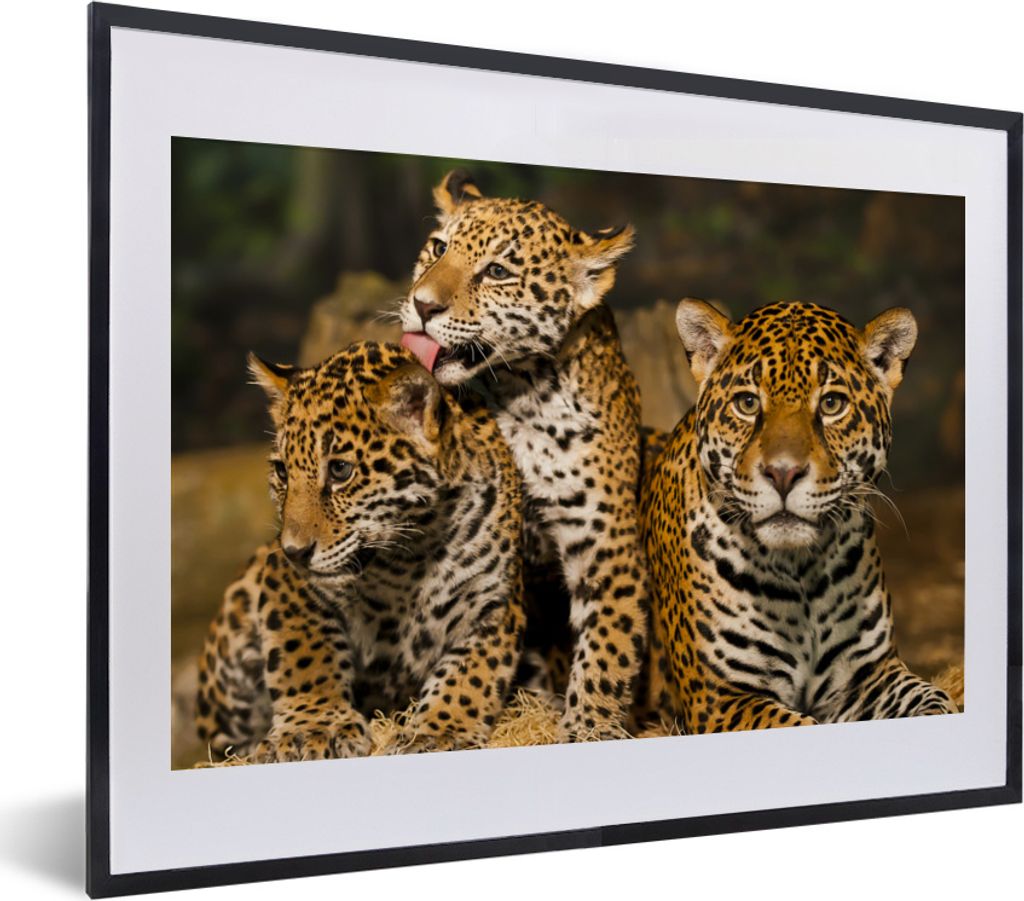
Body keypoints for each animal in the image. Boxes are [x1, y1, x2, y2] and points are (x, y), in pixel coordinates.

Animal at [196, 341, 526, 761]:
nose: (294, 552)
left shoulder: (494, 601)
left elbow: (471, 674)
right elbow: (305, 653)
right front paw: (312, 728)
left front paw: (439, 730)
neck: (411, 554)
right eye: (283, 472)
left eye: (340, 471)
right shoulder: (286, 583)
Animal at [398, 171, 649, 741]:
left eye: (497, 271)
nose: (422, 306)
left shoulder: (608, 546)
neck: (518, 392)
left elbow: (608, 650)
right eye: (438, 248)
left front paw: (587, 728)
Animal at [639, 299, 959, 733]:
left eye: (831, 404)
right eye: (747, 403)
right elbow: (797, 724)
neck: (800, 571)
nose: (783, 474)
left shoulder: (870, 675)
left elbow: (934, 699)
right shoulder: (721, 699)